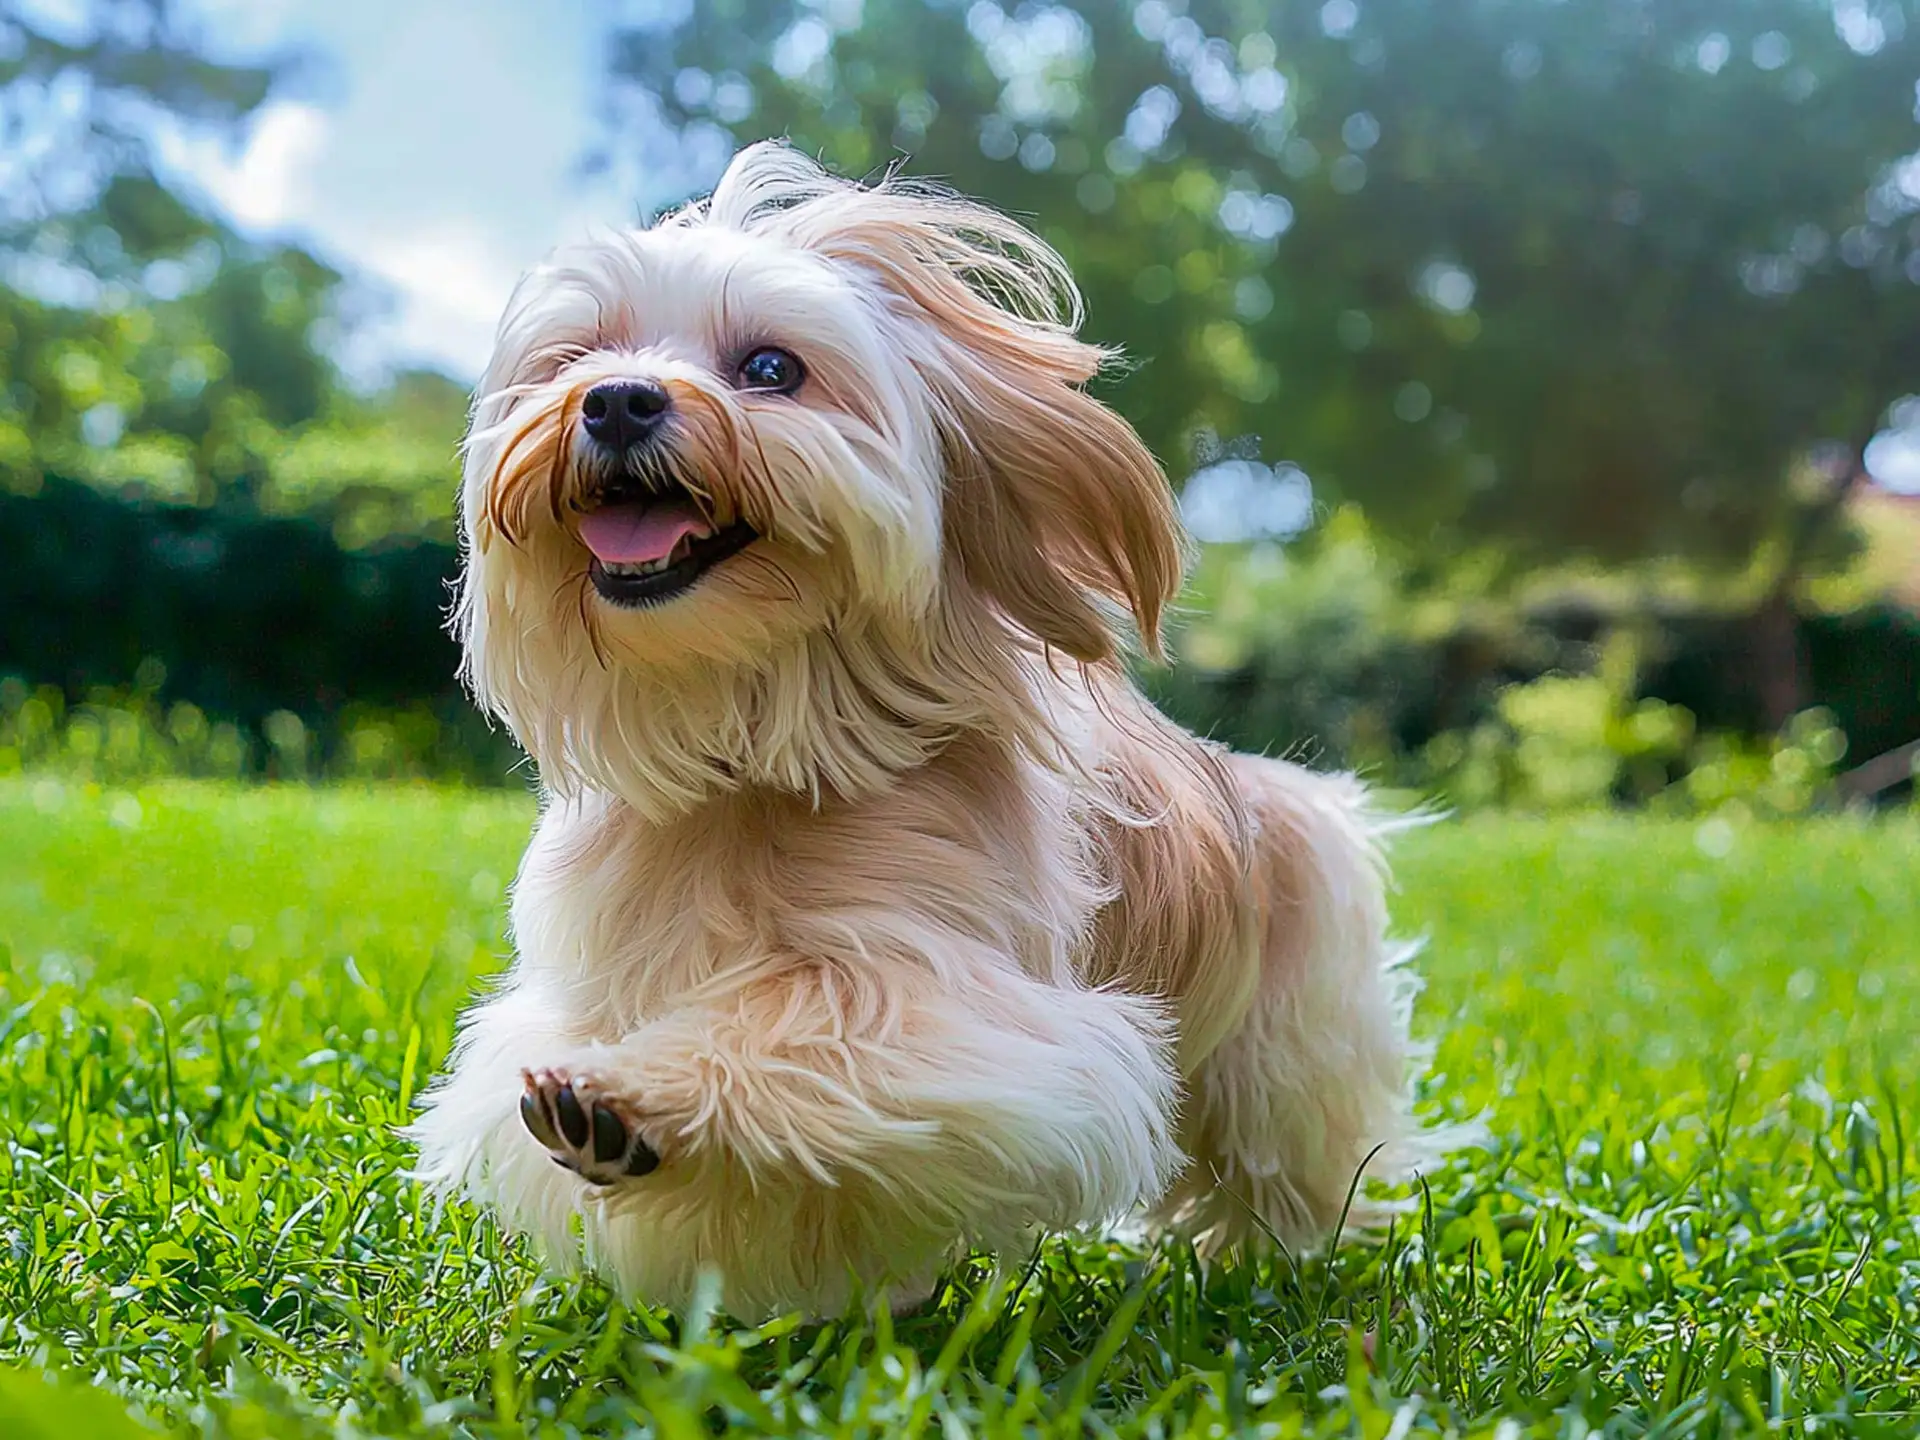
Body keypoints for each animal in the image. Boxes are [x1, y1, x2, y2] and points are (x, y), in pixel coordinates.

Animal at [408, 144, 1451, 1320]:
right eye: (577, 357)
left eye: (771, 368)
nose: (618, 400)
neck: (758, 759)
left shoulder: (976, 1021)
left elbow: (799, 1022)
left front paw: (632, 1093)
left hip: (1289, 1043)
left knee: (1289, 1162)